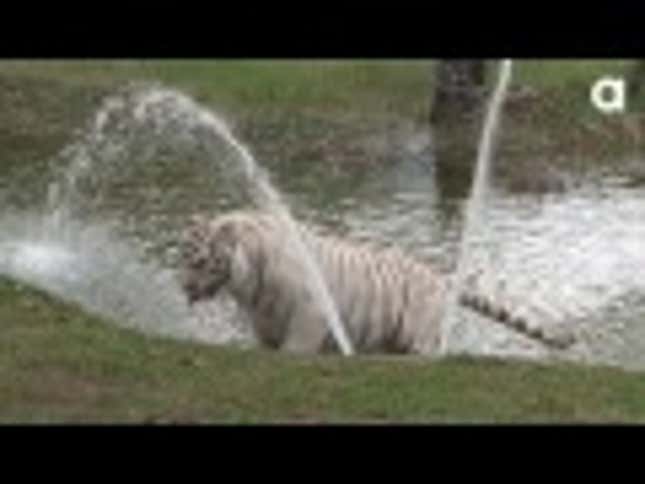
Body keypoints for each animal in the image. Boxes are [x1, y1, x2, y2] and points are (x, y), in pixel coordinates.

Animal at [178, 210, 575, 355]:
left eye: (200, 262)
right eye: (183, 258)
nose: (183, 287)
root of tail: (438, 277)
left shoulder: (309, 314)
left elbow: (296, 349)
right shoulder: (264, 321)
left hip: (419, 335)